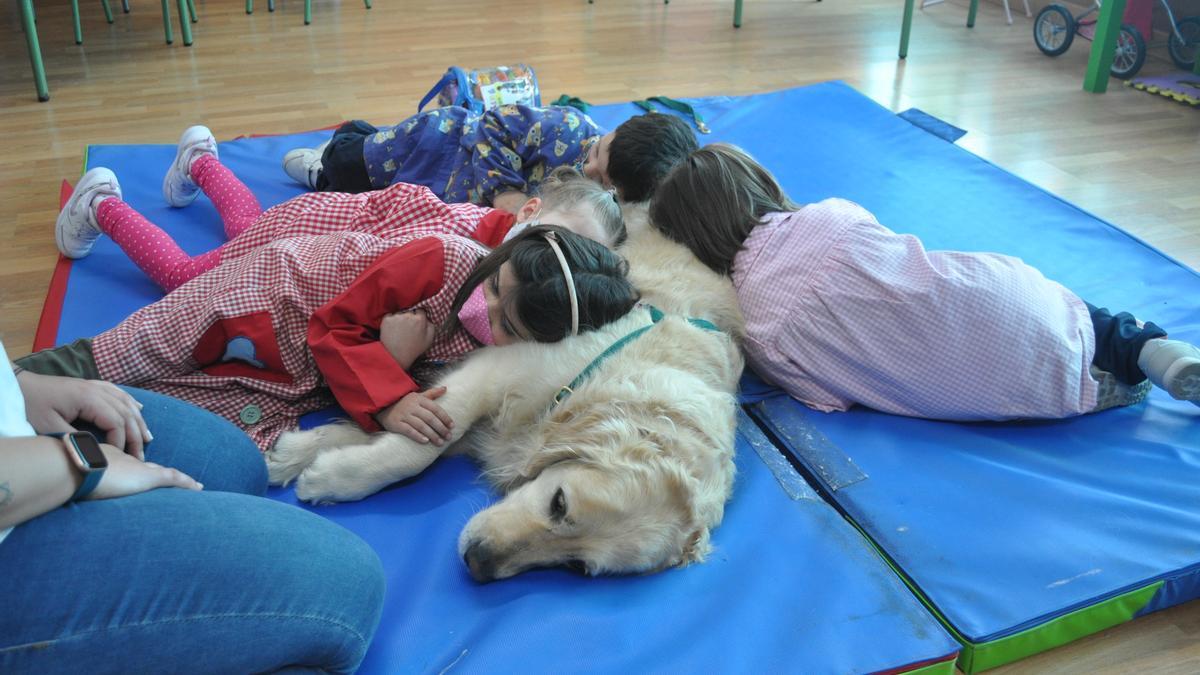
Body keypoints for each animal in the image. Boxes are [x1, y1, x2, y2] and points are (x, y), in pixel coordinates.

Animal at [267, 205, 744, 578]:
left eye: (576, 566)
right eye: (559, 503)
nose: (479, 563)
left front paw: (306, 457)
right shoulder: (497, 369)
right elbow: (415, 446)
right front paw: (323, 472)